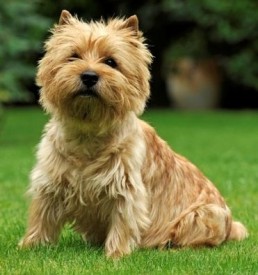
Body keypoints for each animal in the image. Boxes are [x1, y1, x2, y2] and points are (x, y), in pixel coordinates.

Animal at [19, 9, 247, 258]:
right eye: (73, 56)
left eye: (111, 62)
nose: (89, 76)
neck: (88, 133)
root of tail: (232, 225)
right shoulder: (50, 182)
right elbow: (42, 217)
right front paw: (30, 246)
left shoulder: (126, 188)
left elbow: (123, 220)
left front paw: (115, 255)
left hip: (205, 214)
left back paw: (168, 246)